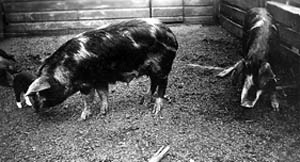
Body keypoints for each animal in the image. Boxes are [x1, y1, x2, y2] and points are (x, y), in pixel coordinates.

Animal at [25, 18, 178, 120]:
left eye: (40, 92)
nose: (35, 109)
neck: (65, 70)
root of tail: (170, 34)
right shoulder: (99, 79)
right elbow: (103, 94)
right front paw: (103, 112)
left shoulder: (86, 83)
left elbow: (88, 99)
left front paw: (82, 118)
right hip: (152, 69)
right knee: (153, 83)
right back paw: (143, 100)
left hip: (162, 66)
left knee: (162, 85)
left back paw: (156, 110)